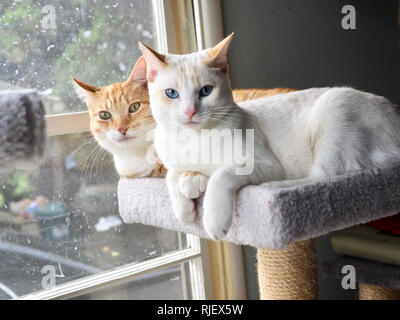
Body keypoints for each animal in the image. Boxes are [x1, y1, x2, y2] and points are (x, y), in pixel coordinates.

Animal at [139, 35, 400, 240]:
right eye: (171, 94)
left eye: (206, 91)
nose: (190, 112)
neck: (194, 140)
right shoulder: (175, 163)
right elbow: (172, 176)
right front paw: (184, 211)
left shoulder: (259, 162)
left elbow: (220, 177)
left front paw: (213, 222)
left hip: (333, 108)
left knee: (324, 176)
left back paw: (274, 188)